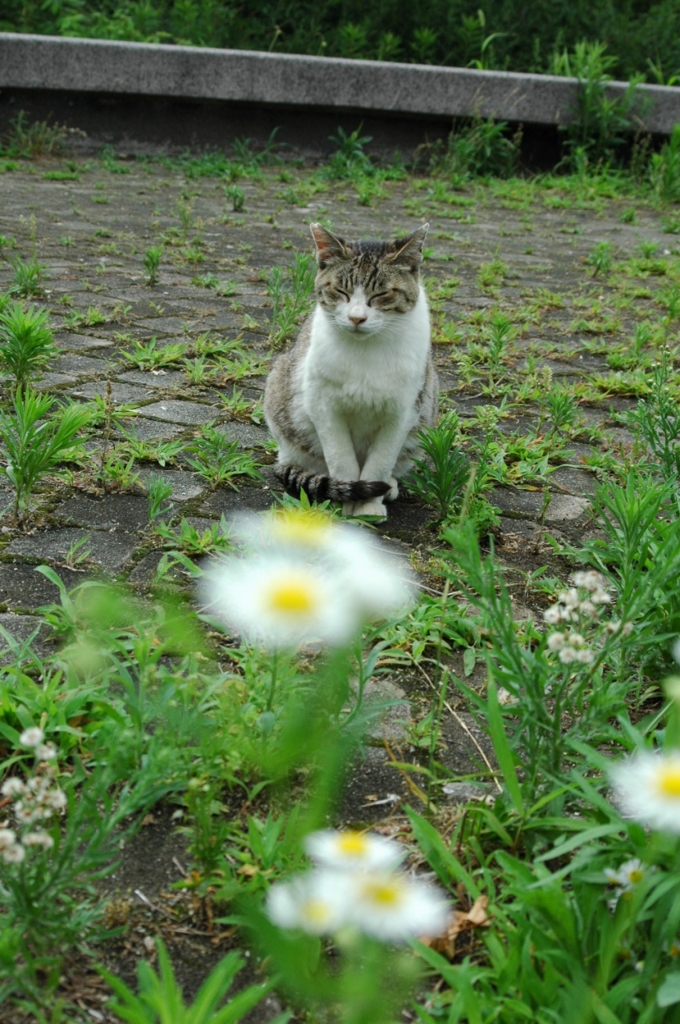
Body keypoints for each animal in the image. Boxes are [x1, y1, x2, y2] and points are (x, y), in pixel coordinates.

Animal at [262, 223, 438, 520]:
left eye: (381, 295)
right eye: (340, 291)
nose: (357, 318)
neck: (365, 350)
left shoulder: (404, 411)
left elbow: (380, 462)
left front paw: (368, 506)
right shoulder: (323, 405)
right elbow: (341, 460)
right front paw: (348, 501)